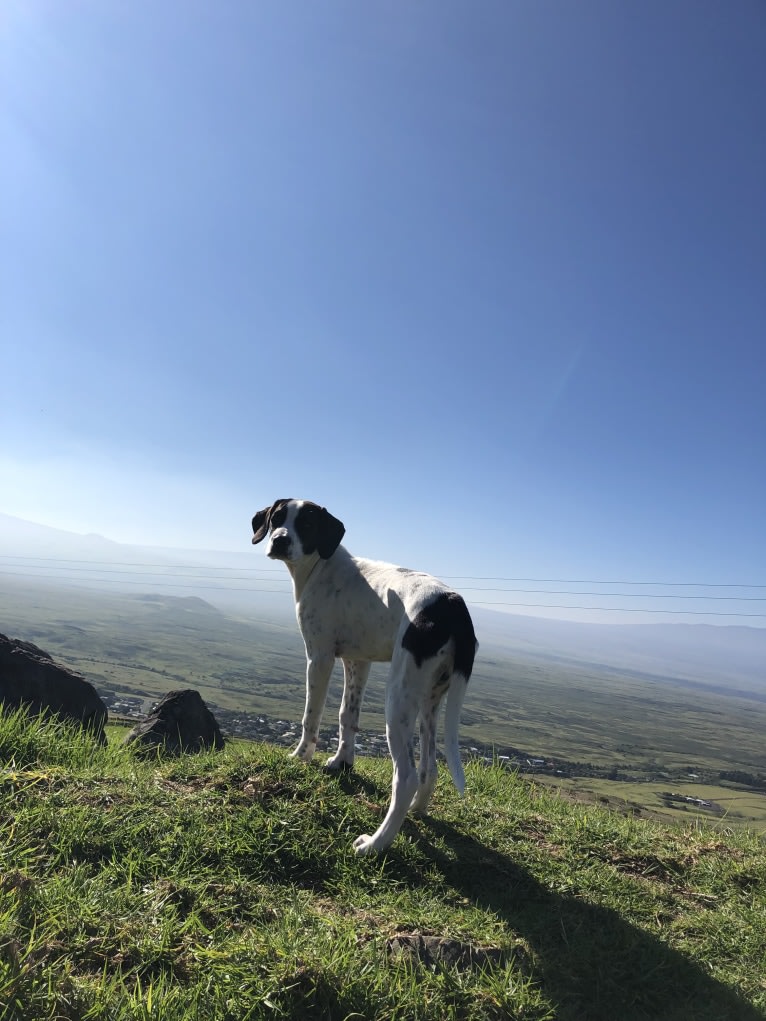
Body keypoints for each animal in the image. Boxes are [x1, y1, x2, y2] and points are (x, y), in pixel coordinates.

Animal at [252, 496, 480, 853]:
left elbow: (311, 715)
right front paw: (342, 761)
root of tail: (453, 605)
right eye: (277, 518)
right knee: (429, 766)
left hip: (399, 697)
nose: (279, 540)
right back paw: (417, 810)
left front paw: (301, 756)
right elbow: (347, 714)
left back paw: (376, 843)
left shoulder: (319, 657)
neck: (321, 566)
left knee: (406, 776)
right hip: (431, 698)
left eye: (307, 524)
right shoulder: (357, 661)